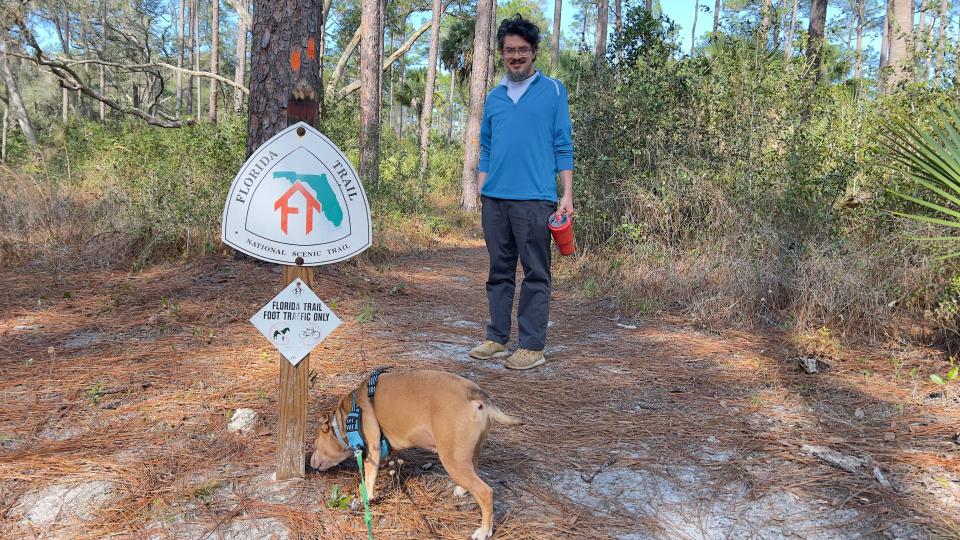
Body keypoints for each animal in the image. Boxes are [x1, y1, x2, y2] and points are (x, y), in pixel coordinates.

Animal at [312, 370, 520, 536]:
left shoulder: (372, 446)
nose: (310, 463)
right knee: (474, 471)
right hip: (468, 453)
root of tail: (473, 392)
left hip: (452, 459)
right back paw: (462, 489)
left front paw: (365, 498)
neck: (347, 417)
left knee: (485, 492)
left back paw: (485, 531)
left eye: (314, 444)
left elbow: (369, 479)